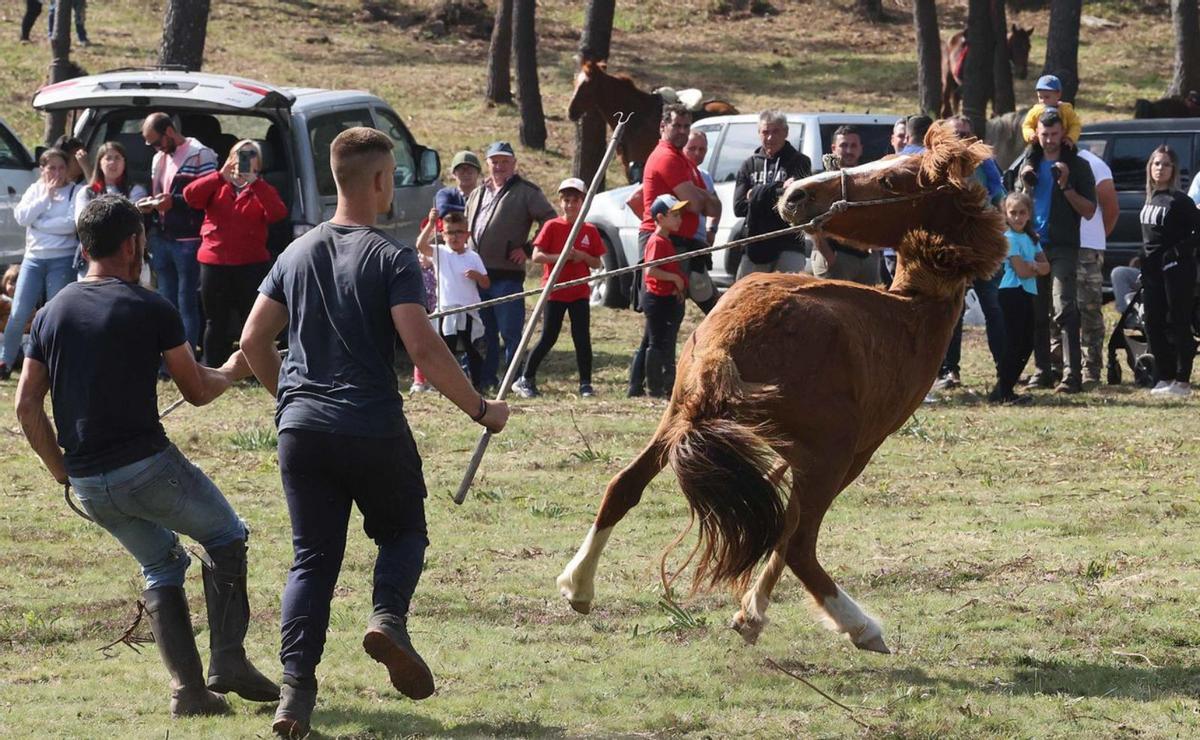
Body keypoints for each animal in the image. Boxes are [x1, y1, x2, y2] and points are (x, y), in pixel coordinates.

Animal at [556, 125, 1008, 652]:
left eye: (892, 179)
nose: (796, 195)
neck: (909, 306)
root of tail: (727, 344)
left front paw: (750, 610)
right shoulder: (854, 454)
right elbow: (788, 532)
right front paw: (752, 613)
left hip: (676, 419)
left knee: (625, 486)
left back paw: (578, 586)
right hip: (829, 457)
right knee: (800, 544)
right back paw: (861, 626)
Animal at [564, 58, 739, 182]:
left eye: (587, 86)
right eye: (574, 82)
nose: (571, 112)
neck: (637, 119)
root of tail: (733, 109)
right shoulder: (629, 167)